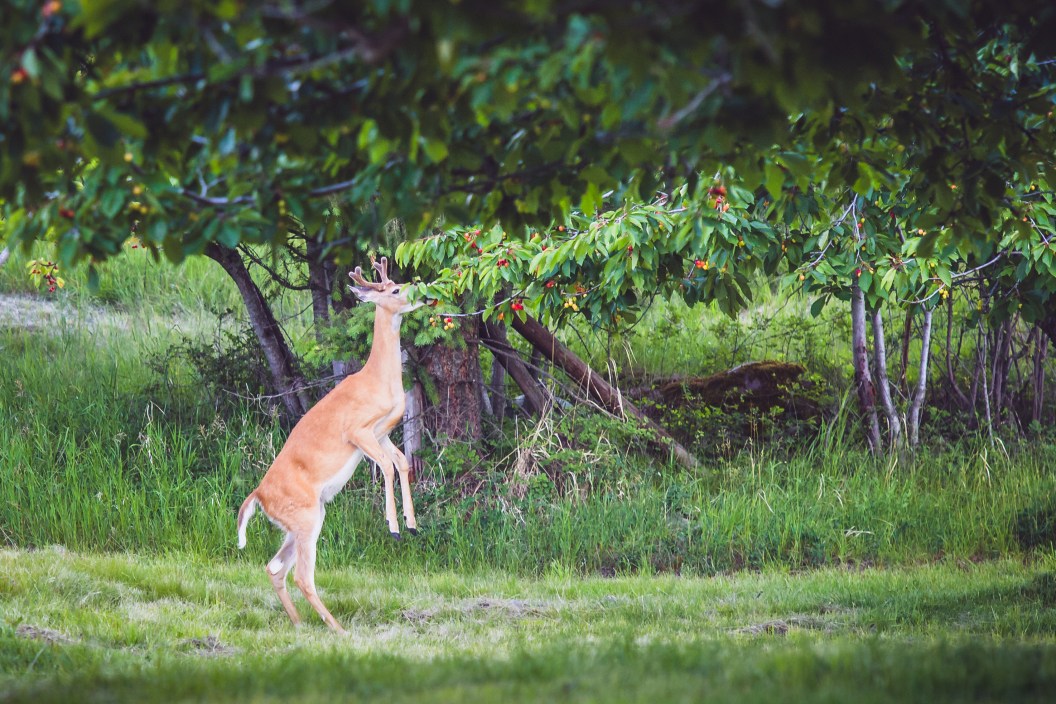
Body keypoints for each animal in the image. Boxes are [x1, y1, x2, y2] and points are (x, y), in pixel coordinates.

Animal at [237, 258, 422, 633]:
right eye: (395, 289)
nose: (419, 292)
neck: (379, 380)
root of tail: (258, 495)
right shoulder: (358, 431)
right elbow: (386, 465)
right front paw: (394, 527)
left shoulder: (382, 432)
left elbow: (402, 462)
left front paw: (411, 524)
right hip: (306, 517)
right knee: (301, 576)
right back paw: (336, 628)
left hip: (304, 520)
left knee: (274, 568)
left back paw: (300, 624)